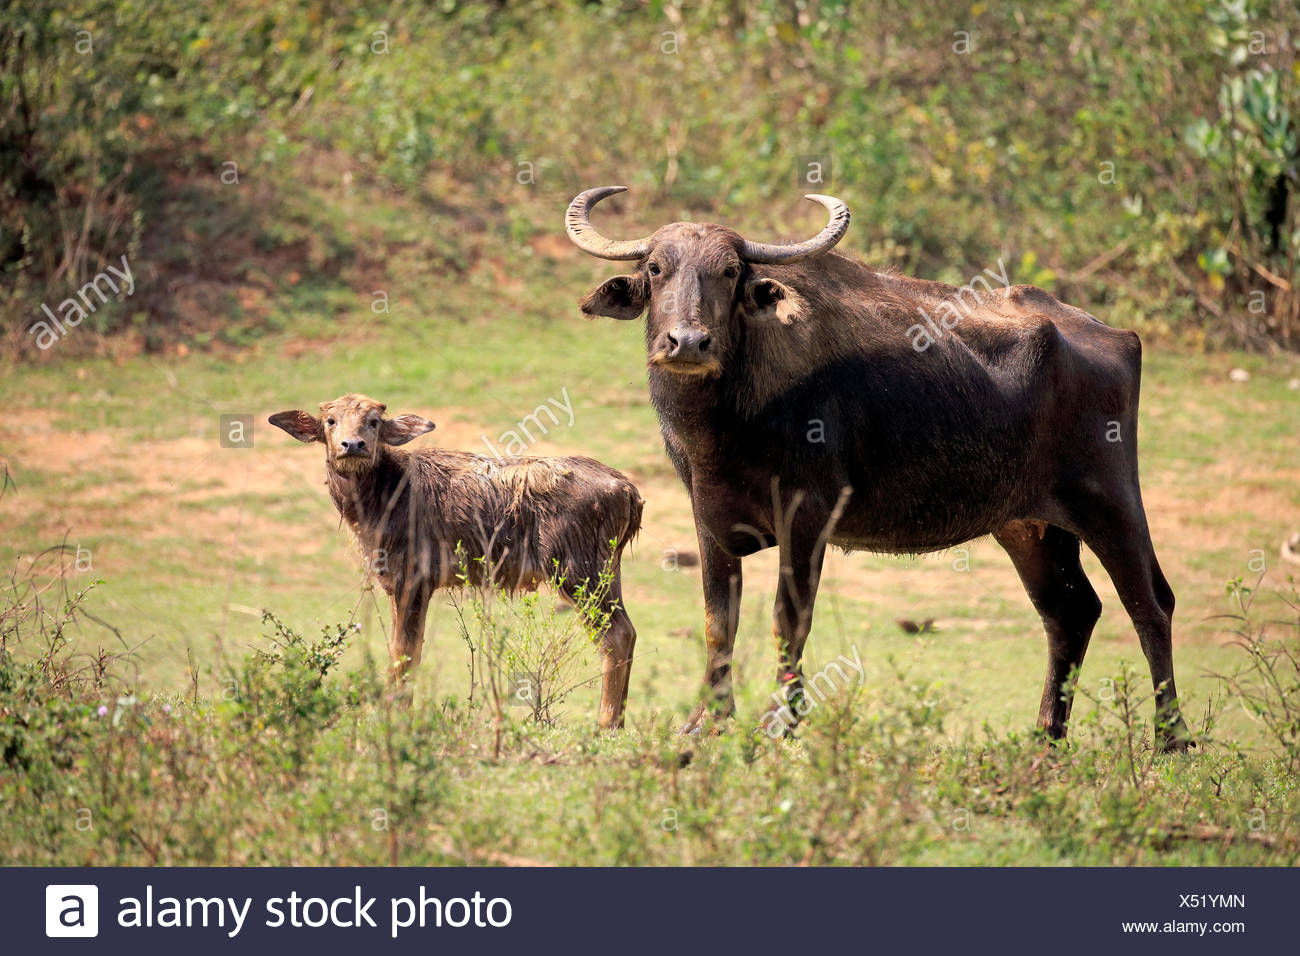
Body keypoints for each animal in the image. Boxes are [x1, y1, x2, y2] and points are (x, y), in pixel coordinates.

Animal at [564, 187, 1190, 754]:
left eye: (729, 271)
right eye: (656, 268)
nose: (688, 342)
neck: (728, 418)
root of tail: (1113, 336)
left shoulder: (809, 516)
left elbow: (788, 620)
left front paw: (780, 724)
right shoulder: (707, 517)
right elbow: (720, 620)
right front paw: (707, 722)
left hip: (1110, 502)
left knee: (1150, 603)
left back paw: (1170, 739)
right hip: (1028, 527)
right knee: (1070, 612)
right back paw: (1046, 736)